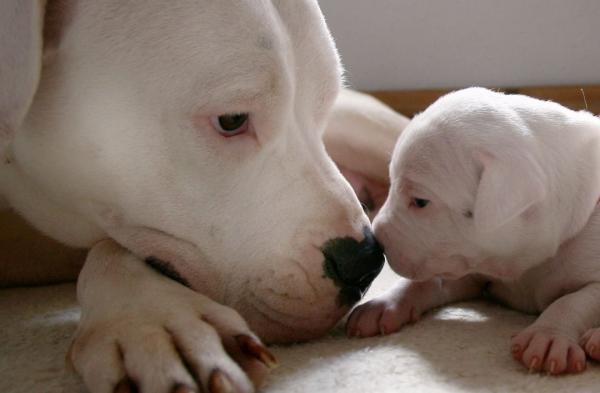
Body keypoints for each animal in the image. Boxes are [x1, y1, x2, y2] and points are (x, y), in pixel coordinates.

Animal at [0, 1, 404, 390]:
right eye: (232, 120)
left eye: (322, 108)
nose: (365, 262)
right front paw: (151, 318)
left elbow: (113, 245)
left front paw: (153, 317)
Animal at [350, 87, 600, 376]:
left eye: (421, 201)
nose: (375, 243)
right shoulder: (471, 266)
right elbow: (425, 282)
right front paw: (383, 304)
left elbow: (573, 301)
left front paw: (548, 335)